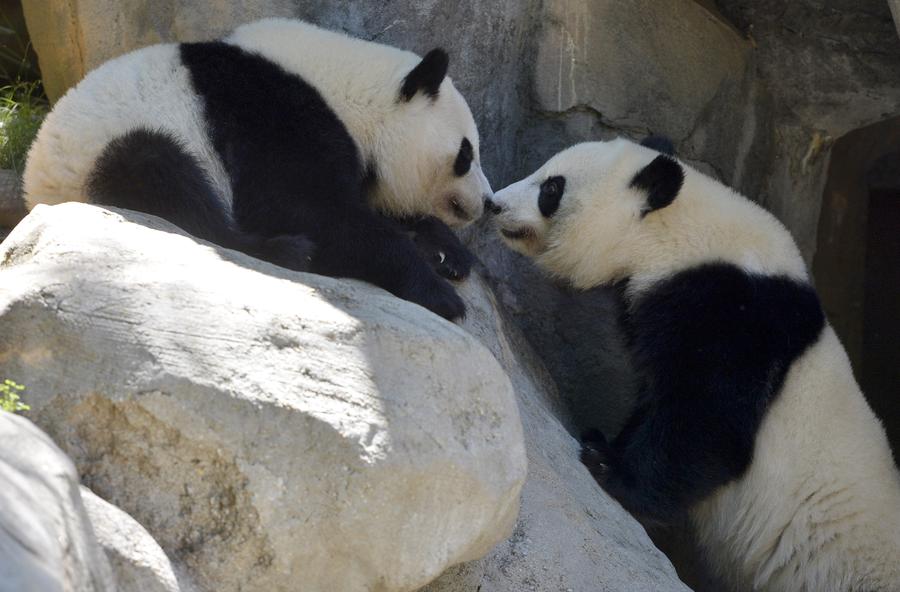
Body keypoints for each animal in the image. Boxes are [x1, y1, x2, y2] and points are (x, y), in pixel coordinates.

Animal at [23, 18, 493, 320]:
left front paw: (447, 252)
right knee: (163, 178)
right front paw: (437, 292)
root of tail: (36, 192)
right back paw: (283, 250)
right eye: (465, 154)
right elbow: (305, 209)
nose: (487, 203)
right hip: (102, 155)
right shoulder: (269, 118)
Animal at [489, 137, 900, 591]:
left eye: (551, 188)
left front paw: (607, 465)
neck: (680, 231)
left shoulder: (735, 315)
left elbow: (709, 426)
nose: (494, 203)